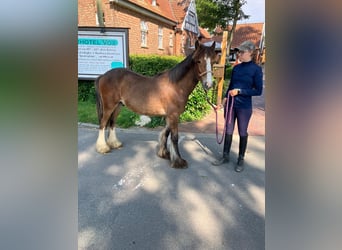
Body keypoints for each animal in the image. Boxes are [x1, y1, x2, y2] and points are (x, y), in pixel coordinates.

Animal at [95, 41, 218, 169]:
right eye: (198, 61)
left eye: (214, 62)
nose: (208, 84)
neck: (175, 86)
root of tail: (103, 76)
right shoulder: (173, 115)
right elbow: (174, 137)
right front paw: (178, 161)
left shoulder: (170, 115)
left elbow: (166, 133)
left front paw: (164, 153)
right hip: (109, 106)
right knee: (103, 124)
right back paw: (103, 148)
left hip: (118, 106)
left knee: (112, 122)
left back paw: (114, 143)